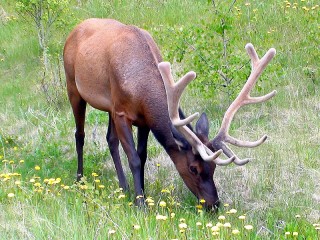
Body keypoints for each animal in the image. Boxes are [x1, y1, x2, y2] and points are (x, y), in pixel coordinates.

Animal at [63, 18, 276, 209]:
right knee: (80, 135)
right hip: (73, 87)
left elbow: (142, 155)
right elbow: (134, 159)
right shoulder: (122, 112)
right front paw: (141, 204)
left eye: (214, 168)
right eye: (193, 168)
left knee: (110, 139)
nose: (214, 204)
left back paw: (124, 188)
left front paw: (142, 194)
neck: (141, 88)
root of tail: (75, 29)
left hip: (109, 107)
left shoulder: (141, 119)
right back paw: (79, 179)